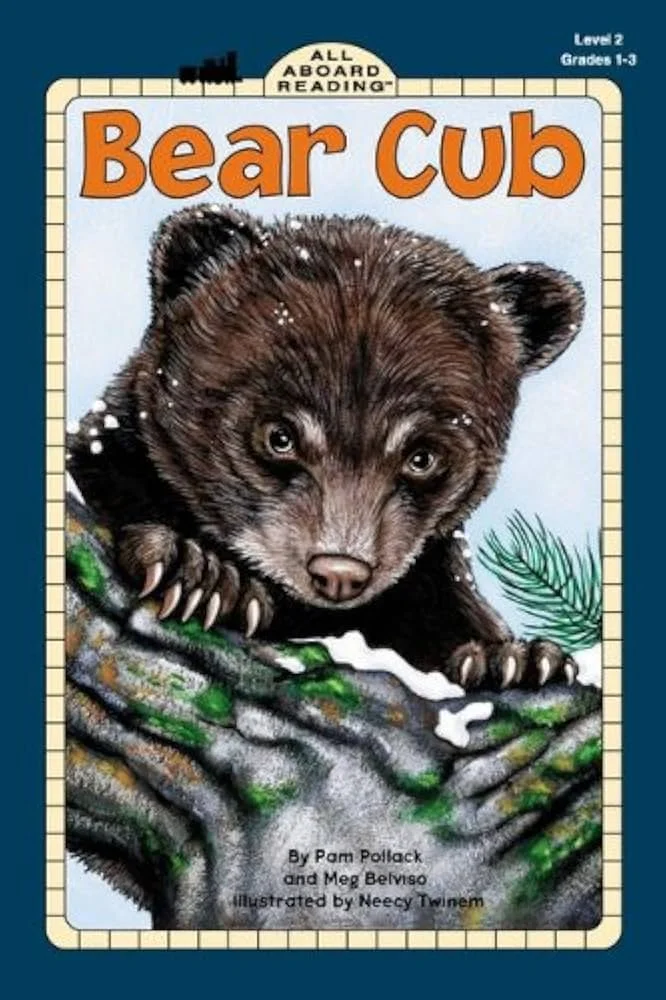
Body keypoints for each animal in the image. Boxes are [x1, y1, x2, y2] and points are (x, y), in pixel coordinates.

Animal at [67, 204, 585, 689]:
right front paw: (200, 575)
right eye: (279, 436)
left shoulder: (424, 579)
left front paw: (515, 659)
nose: (340, 572)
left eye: (423, 456)